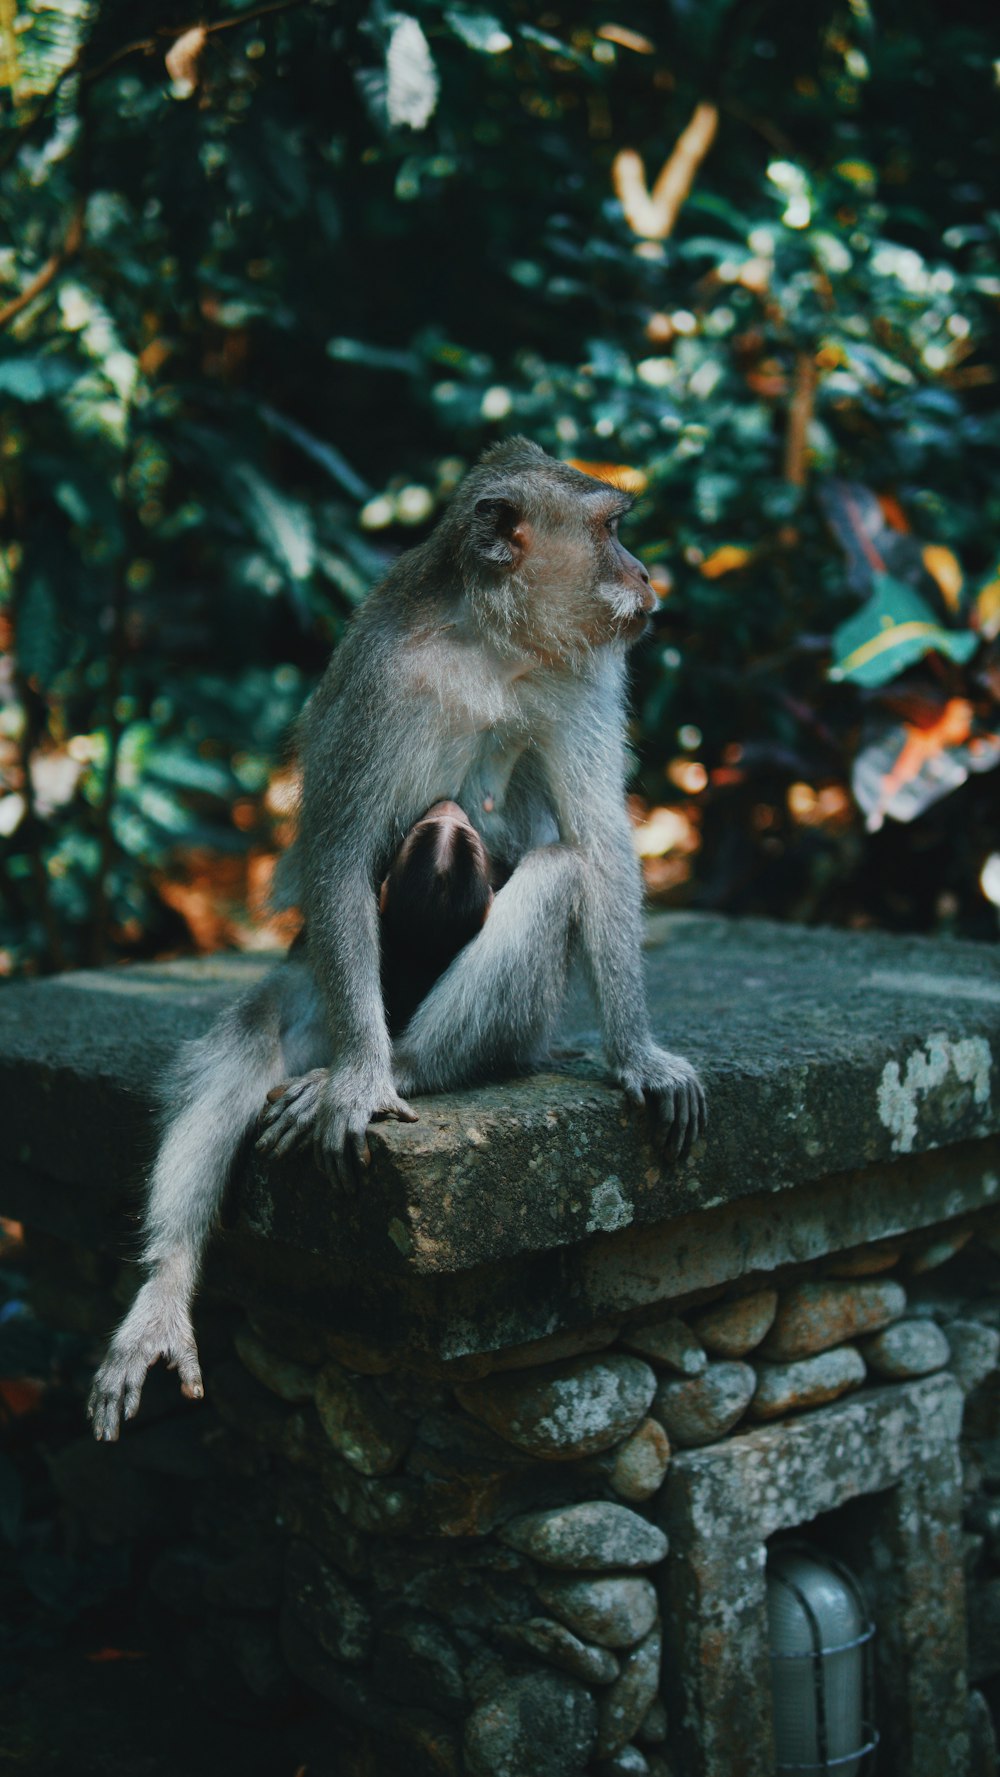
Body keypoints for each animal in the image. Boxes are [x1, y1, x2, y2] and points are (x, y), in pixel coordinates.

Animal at [90, 437, 706, 1435]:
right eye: (613, 530)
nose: (648, 573)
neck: (491, 644)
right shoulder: (383, 680)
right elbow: (340, 856)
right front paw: (360, 1084)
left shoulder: (581, 675)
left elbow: (601, 845)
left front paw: (641, 1055)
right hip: (334, 999)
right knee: (252, 1036)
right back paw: (177, 1276)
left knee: (557, 873)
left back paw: (415, 1066)